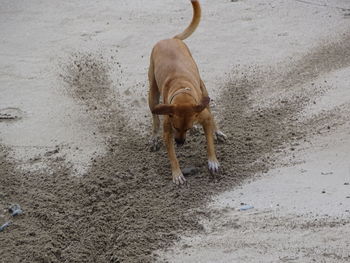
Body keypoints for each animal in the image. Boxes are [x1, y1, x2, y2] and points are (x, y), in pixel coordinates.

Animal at [148, 0, 227, 186]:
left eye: (187, 127)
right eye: (176, 127)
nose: (180, 143)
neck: (182, 92)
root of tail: (170, 39)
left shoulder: (203, 115)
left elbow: (209, 141)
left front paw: (213, 161)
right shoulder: (168, 130)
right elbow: (172, 155)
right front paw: (177, 173)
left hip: (203, 88)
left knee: (210, 109)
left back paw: (217, 131)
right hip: (152, 94)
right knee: (154, 117)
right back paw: (154, 137)